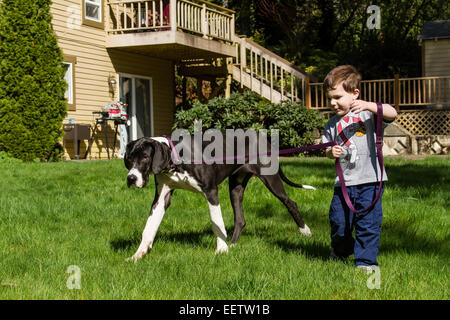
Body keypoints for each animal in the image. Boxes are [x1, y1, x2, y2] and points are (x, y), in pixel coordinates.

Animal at [123, 134, 312, 262]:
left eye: (145, 157)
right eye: (130, 158)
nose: (131, 178)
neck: (176, 160)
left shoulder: (211, 191)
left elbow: (217, 223)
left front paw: (221, 250)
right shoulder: (162, 197)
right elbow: (149, 228)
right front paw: (138, 254)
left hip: (270, 179)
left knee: (290, 203)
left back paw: (305, 231)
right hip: (235, 187)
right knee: (240, 219)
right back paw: (233, 245)